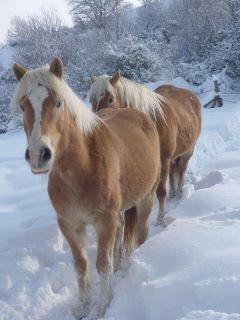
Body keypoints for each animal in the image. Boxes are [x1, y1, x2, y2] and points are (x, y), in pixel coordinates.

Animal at [11, 58, 161, 318]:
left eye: (58, 102)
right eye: (23, 106)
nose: (38, 155)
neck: (82, 168)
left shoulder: (105, 221)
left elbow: (102, 264)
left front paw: (103, 306)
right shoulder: (69, 224)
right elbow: (81, 266)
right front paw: (82, 307)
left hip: (146, 198)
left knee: (141, 232)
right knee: (122, 232)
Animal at [89, 70, 202, 225]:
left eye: (111, 99)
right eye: (91, 101)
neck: (152, 122)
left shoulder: (163, 160)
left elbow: (160, 191)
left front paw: (160, 218)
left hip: (187, 151)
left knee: (181, 169)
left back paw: (179, 193)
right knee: (174, 171)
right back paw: (173, 193)